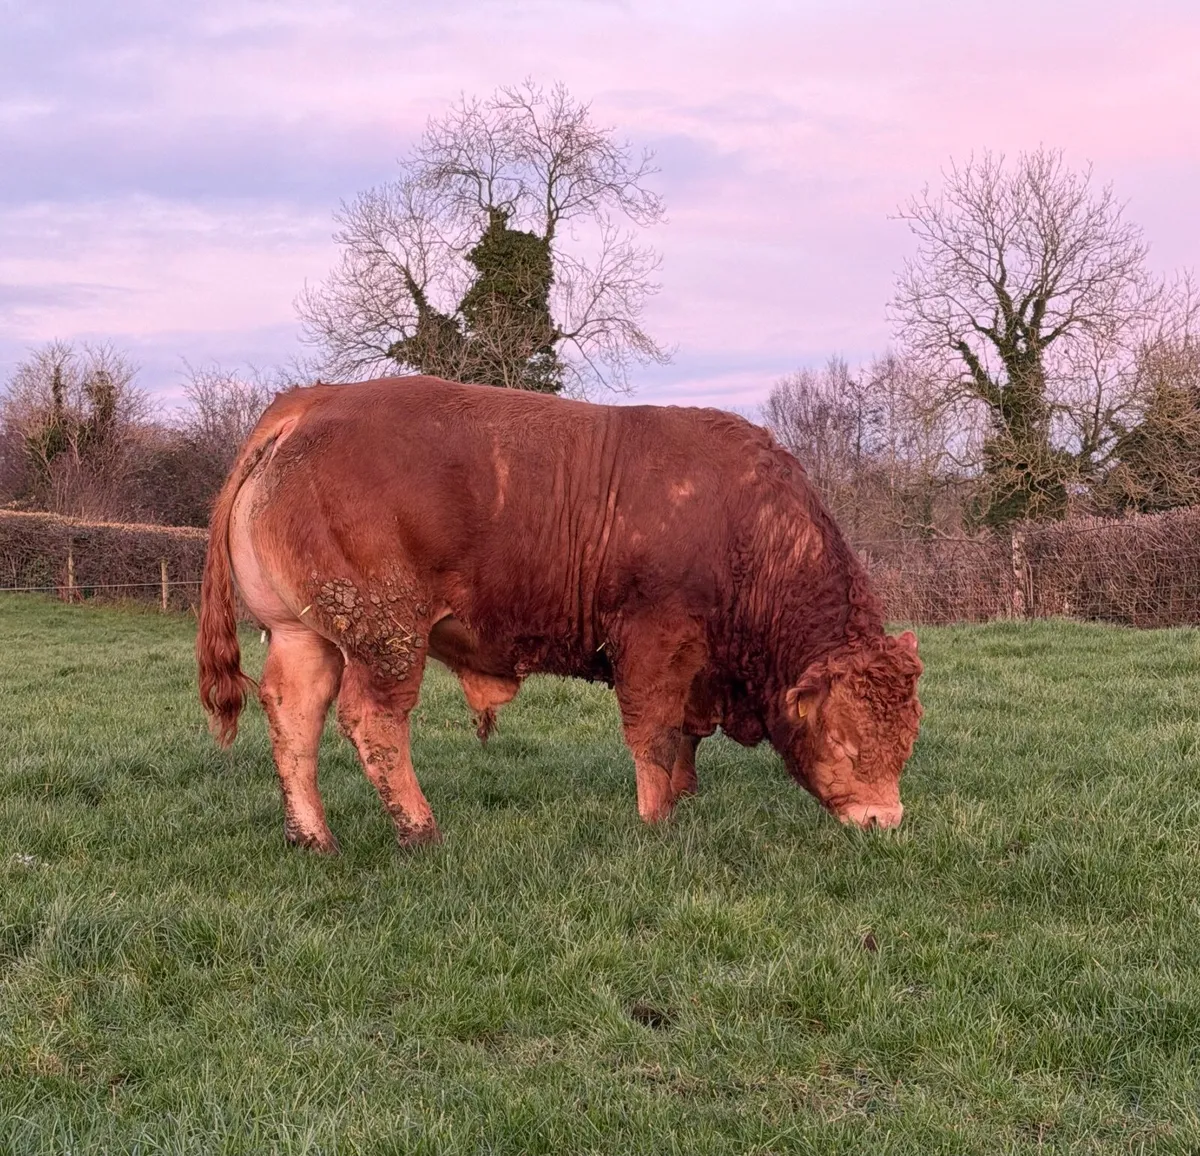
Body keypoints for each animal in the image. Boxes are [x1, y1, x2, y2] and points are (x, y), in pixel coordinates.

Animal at [197, 376, 923, 852]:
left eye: (908, 739)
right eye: (844, 741)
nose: (884, 821)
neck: (744, 525)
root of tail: (311, 401)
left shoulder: (699, 667)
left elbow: (686, 735)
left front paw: (686, 798)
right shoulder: (654, 639)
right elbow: (655, 733)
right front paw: (657, 820)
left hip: (300, 635)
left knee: (293, 716)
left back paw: (312, 837)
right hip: (387, 639)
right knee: (373, 722)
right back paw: (421, 830)